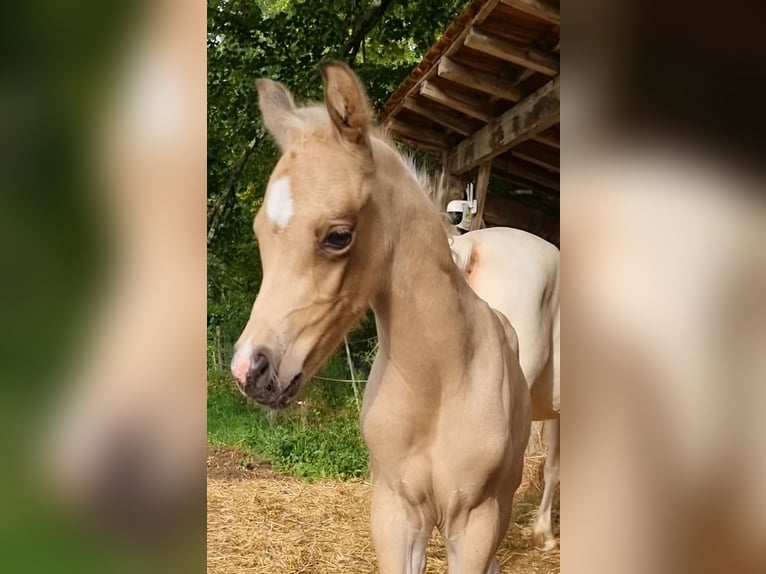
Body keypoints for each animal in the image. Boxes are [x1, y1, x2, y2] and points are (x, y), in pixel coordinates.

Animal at [232, 60, 536, 572]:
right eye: (258, 232)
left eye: (338, 235)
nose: (249, 370)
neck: (439, 383)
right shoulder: (396, 514)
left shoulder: (474, 522)